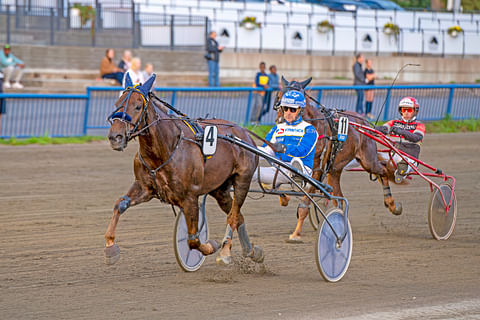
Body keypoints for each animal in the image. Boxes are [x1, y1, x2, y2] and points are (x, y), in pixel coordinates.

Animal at [104, 74, 266, 264]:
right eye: (117, 103)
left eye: (138, 106)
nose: (115, 137)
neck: (165, 150)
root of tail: (244, 133)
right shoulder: (144, 187)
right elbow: (119, 204)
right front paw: (110, 247)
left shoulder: (189, 198)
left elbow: (193, 240)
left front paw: (211, 246)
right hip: (220, 189)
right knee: (238, 216)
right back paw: (251, 251)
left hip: (242, 181)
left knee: (233, 216)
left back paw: (225, 251)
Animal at [276, 78, 400, 242]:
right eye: (279, 96)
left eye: (296, 101)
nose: (282, 120)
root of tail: (364, 122)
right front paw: (284, 198)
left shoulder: (317, 170)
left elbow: (304, 203)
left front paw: (296, 234)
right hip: (335, 169)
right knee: (340, 199)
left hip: (367, 160)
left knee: (384, 169)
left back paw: (392, 204)